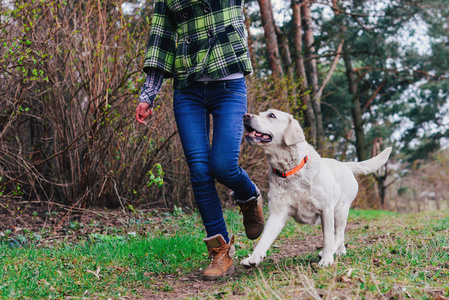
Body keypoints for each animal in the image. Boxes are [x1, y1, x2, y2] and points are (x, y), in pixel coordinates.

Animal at [240, 109, 390, 266]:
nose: (245, 116)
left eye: (271, 115)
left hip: (340, 210)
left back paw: (328, 252)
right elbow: (264, 239)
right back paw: (340, 252)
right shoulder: (277, 213)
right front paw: (253, 258)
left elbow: (328, 239)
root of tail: (345, 164)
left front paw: (326, 260)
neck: (291, 171)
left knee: (338, 235)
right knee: (339, 236)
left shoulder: (326, 209)